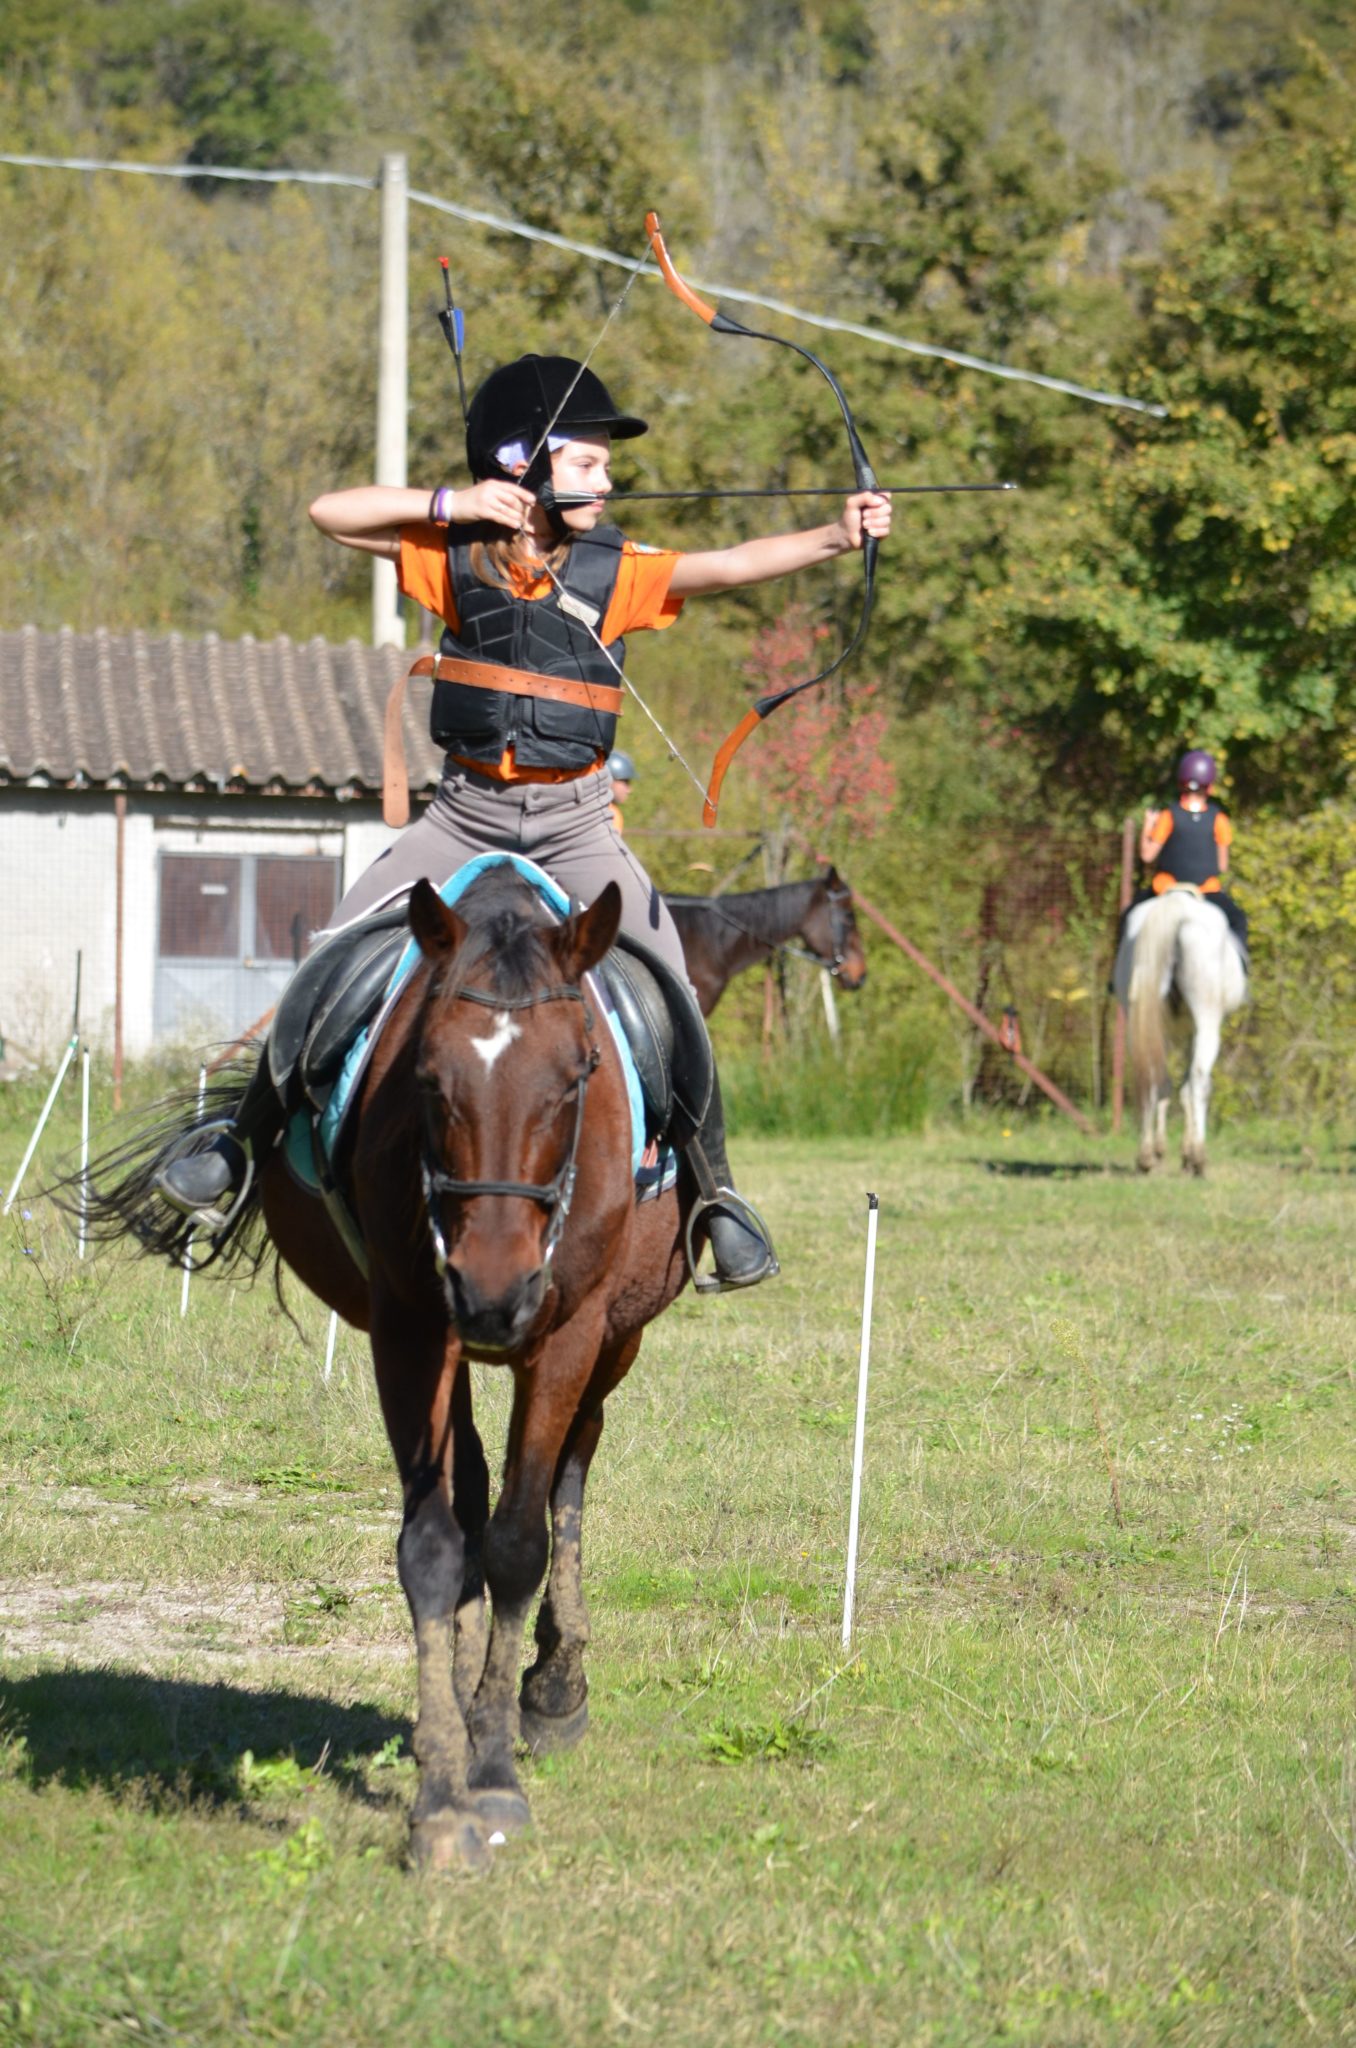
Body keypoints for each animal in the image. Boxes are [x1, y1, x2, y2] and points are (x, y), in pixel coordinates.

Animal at [79, 865, 690, 1872]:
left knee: (571, 1469)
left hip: (615, 1340)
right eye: (430, 1079)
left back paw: (554, 1686)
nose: (491, 1291)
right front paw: (444, 1792)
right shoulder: (408, 1331)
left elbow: (521, 1541)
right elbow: (437, 1547)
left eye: (577, 1076)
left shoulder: (569, 1336)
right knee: (476, 1485)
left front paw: (496, 1770)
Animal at [1114, 888, 1248, 1176]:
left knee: (1151, 1076)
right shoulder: (1195, 1030)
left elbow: (1171, 1086)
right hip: (1207, 1022)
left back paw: (1146, 1156)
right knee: (1199, 1081)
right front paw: (1188, 1153)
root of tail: (1178, 905)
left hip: (1142, 1021)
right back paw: (1198, 1157)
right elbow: (1191, 1087)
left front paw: (1163, 1149)